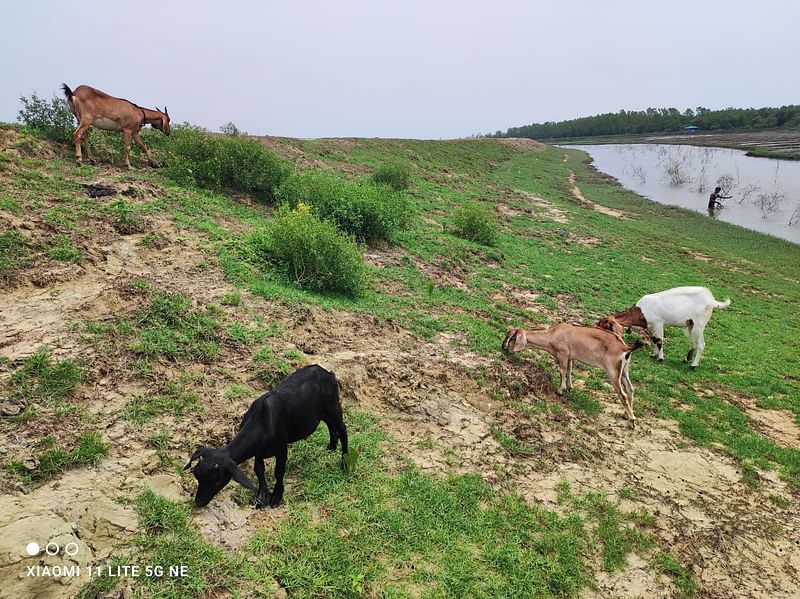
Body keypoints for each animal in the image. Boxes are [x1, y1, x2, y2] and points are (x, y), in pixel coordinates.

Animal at [189, 364, 352, 508]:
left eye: (217, 480)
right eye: (196, 475)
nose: (199, 502)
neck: (262, 422)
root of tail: (327, 372)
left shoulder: (281, 448)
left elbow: (278, 472)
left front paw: (276, 497)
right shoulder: (257, 452)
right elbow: (259, 470)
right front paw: (262, 498)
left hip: (333, 406)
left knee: (342, 430)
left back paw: (344, 463)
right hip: (322, 412)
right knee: (331, 427)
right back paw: (331, 446)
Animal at [504, 324, 648, 426]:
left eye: (511, 338)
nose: (503, 348)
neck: (552, 334)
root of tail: (625, 349)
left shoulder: (563, 354)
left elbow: (562, 371)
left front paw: (560, 390)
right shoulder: (570, 357)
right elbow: (569, 371)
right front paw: (569, 388)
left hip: (613, 372)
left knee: (622, 394)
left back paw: (632, 421)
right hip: (624, 371)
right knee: (630, 389)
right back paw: (626, 414)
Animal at [600, 288, 732, 368]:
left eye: (605, 327)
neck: (641, 311)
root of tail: (711, 299)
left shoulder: (659, 323)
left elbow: (659, 341)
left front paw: (660, 358)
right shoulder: (652, 325)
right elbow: (653, 339)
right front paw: (654, 354)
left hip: (700, 324)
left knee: (701, 344)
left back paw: (693, 366)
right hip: (691, 324)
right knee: (693, 343)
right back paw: (686, 359)